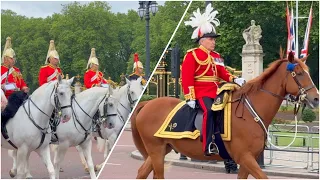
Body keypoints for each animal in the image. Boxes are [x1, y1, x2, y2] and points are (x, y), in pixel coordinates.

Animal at [130, 52, 318, 179]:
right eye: (299, 73)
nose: (316, 98)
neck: (250, 112)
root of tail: (147, 103)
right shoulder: (245, 157)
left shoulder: (247, 160)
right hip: (156, 149)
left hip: (162, 149)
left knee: (141, 172)